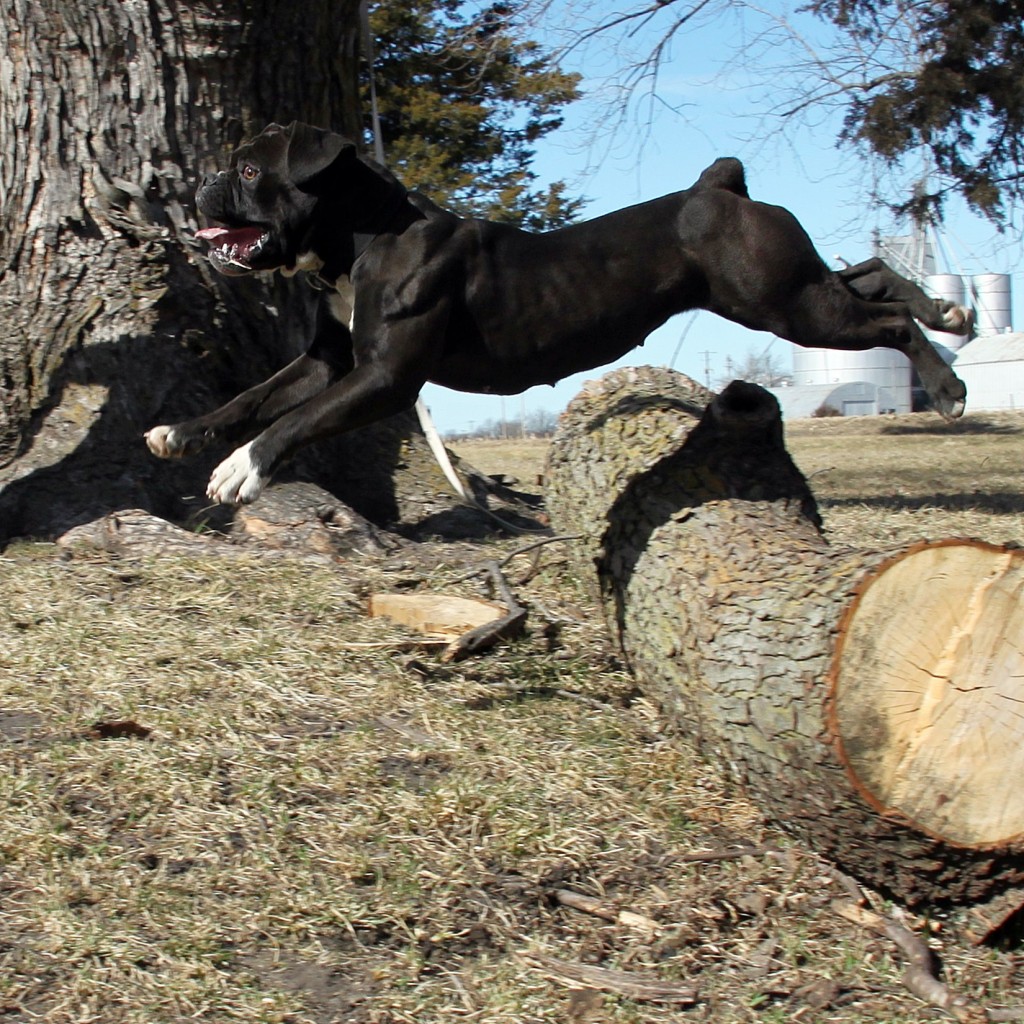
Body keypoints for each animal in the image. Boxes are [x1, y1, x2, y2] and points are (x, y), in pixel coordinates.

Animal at [146, 121, 966, 505]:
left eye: (250, 169)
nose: (203, 182)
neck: (362, 237)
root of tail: (721, 187)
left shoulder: (383, 377)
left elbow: (292, 420)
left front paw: (239, 471)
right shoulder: (330, 360)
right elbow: (257, 397)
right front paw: (181, 434)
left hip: (783, 304)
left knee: (886, 324)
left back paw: (950, 387)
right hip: (792, 290)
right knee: (872, 276)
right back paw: (951, 312)